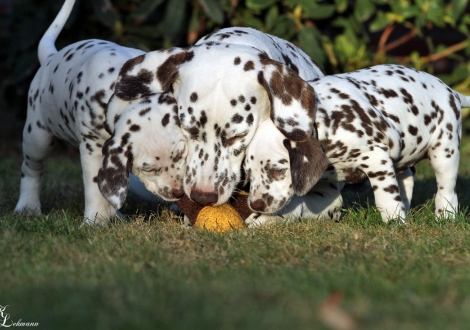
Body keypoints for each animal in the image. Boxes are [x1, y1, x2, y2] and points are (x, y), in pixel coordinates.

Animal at [13, 0, 185, 224]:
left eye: (181, 153)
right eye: (148, 168)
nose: (179, 192)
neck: (121, 92)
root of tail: (50, 57)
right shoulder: (92, 147)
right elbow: (96, 186)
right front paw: (95, 221)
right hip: (37, 135)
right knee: (31, 169)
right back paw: (27, 206)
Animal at [244, 63, 468, 224]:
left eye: (277, 171)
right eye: (249, 173)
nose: (256, 204)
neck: (322, 123)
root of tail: (452, 92)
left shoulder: (377, 159)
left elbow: (385, 198)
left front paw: (394, 222)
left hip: (444, 153)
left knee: (446, 190)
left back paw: (444, 216)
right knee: (407, 180)